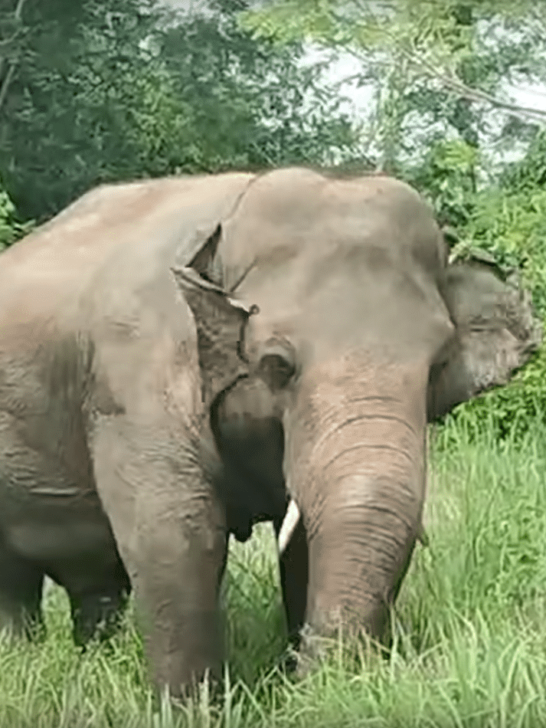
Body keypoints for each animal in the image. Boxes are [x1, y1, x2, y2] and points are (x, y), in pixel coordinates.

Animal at [0, 167, 540, 697]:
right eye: (277, 364)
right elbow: (176, 537)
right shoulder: (134, 375)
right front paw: (191, 709)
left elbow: (302, 543)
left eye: (438, 365)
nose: (304, 684)